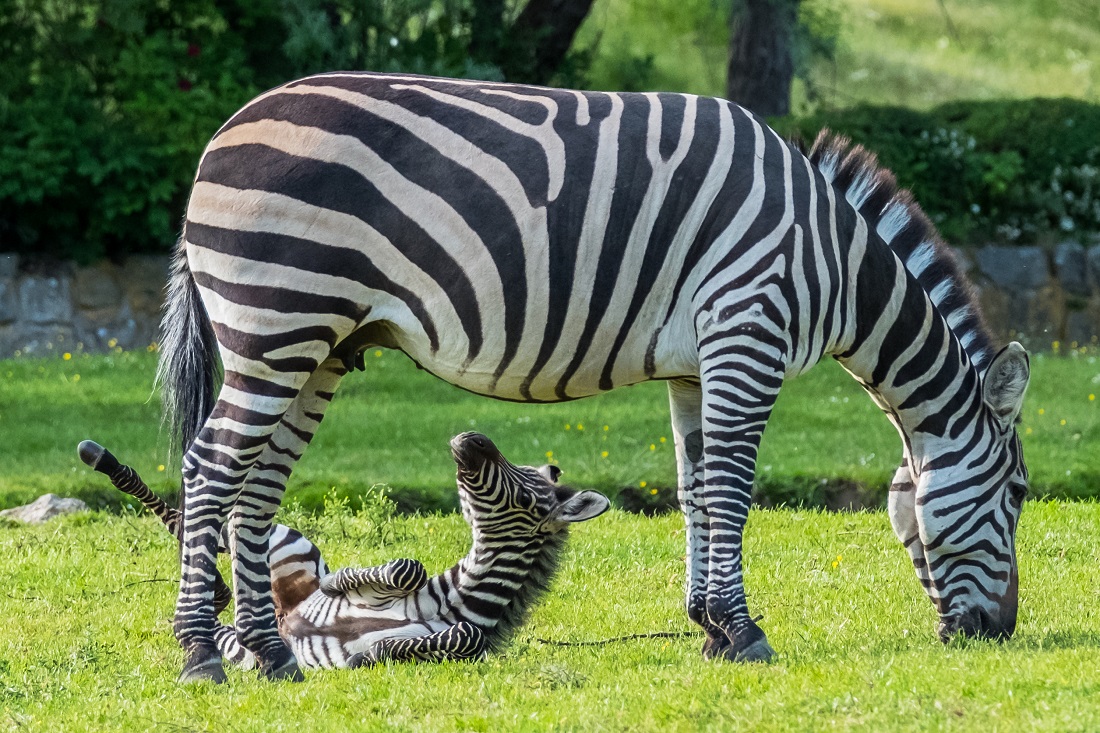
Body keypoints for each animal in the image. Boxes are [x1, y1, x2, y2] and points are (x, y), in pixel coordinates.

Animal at [77, 433, 611, 669]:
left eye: (530, 499)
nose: (472, 437)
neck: (458, 599)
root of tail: (279, 608)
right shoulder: (402, 577)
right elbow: (405, 566)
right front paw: (338, 584)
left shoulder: (469, 641)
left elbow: (460, 637)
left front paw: (373, 653)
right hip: (281, 543)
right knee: (211, 531)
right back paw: (105, 460)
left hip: (241, 628)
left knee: (220, 601)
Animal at [157, 72, 1029, 677]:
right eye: (1019, 494)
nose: (1001, 633)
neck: (836, 266)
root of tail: (218, 137)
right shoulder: (748, 329)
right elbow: (734, 491)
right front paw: (745, 632)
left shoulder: (697, 365)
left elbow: (697, 489)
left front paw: (709, 626)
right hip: (277, 322)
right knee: (210, 468)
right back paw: (200, 652)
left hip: (317, 344)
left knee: (257, 484)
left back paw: (271, 654)